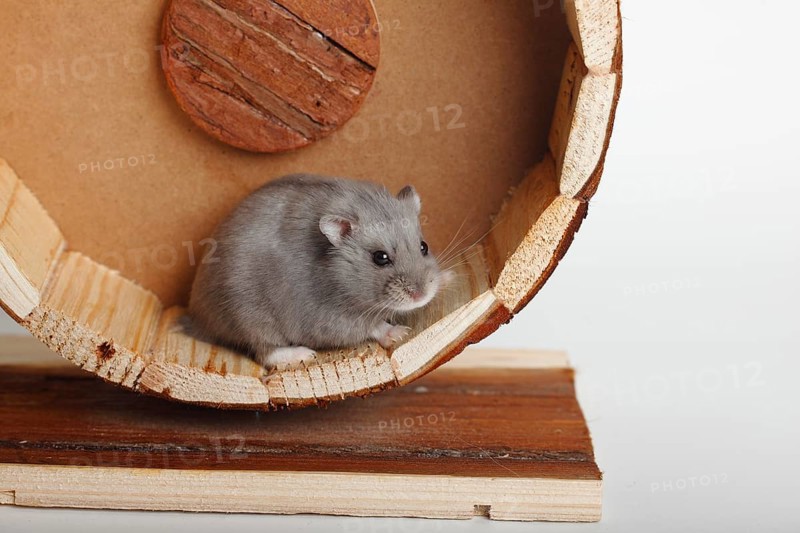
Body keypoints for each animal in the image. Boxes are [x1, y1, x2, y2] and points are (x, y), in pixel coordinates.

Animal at [186, 173, 450, 368]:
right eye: (380, 258)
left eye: (424, 247)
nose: (421, 296)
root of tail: (196, 316)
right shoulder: (330, 319)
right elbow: (372, 326)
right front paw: (400, 333)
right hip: (251, 320)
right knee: (265, 352)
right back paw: (303, 355)